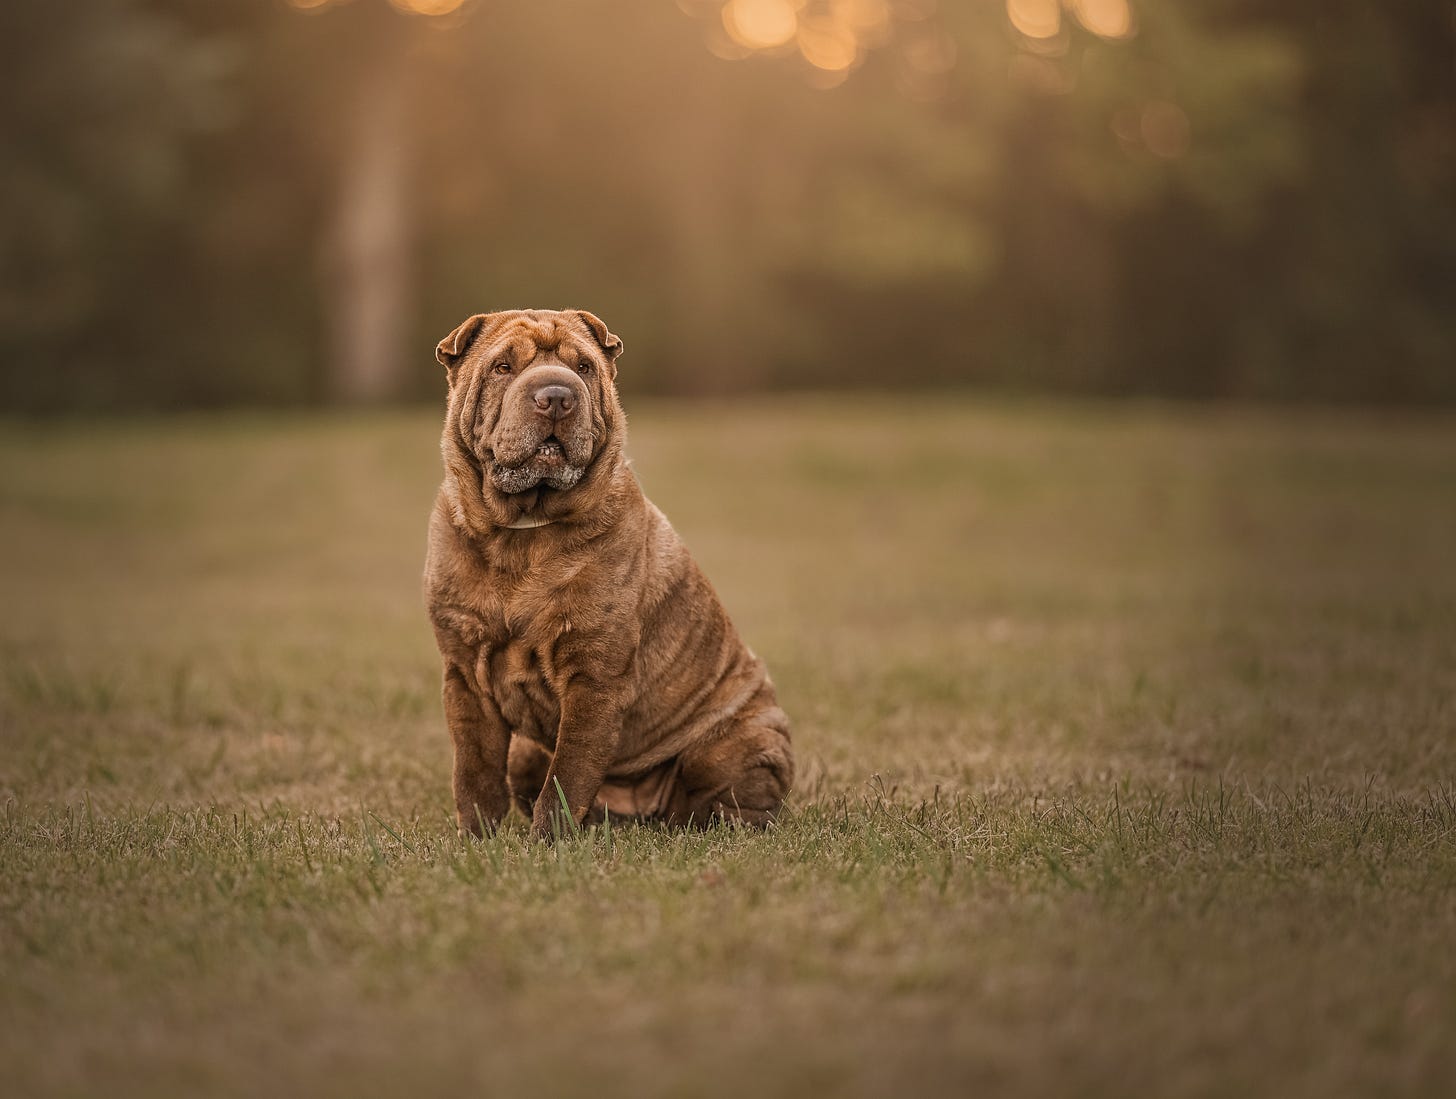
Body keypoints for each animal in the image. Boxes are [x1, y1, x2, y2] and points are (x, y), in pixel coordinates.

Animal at [425, 305, 797, 838]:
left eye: (583, 367)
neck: (521, 532)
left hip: (737, 745)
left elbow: (568, 774)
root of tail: (642, 813)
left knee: (740, 798)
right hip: (525, 754)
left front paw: (547, 843)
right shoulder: (464, 673)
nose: (556, 397)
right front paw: (478, 840)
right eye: (503, 367)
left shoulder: (594, 676)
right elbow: (474, 773)